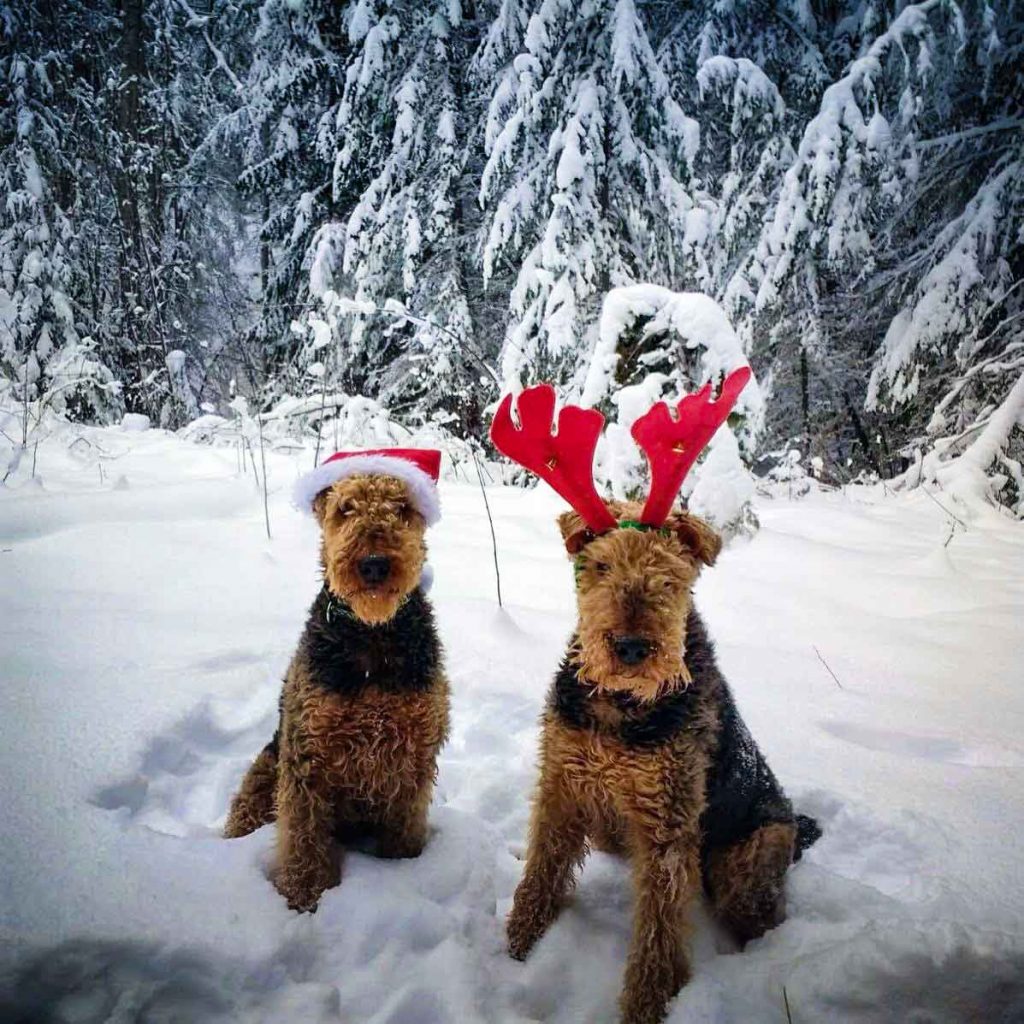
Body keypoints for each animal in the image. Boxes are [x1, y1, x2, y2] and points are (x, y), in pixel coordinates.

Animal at [491, 370, 819, 1024]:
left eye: (674, 572)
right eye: (596, 567)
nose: (631, 648)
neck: (619, 711)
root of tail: (795, 822)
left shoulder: (668, 828)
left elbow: (657, 940)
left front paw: (646, 1005)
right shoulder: (562, 785)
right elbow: (541, 874)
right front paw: (517, 946)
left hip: (744, 861)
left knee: (763, 920)